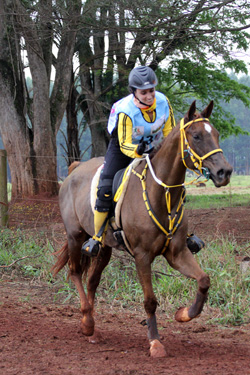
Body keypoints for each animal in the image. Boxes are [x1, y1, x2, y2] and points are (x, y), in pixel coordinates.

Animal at [52, 101, 232, 360]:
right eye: (197, 136)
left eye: (216, 134)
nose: (224, 172)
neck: (162, 193)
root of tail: (75, 169)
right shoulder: (142, 256)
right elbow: (150, 300)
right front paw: (155, 342)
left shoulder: (177, 253)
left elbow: (204, 280)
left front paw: (183, 314)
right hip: (75, 236)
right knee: (75, 272)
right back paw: (86, 322)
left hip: (104, 248)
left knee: (93, 281)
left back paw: (93, 327)